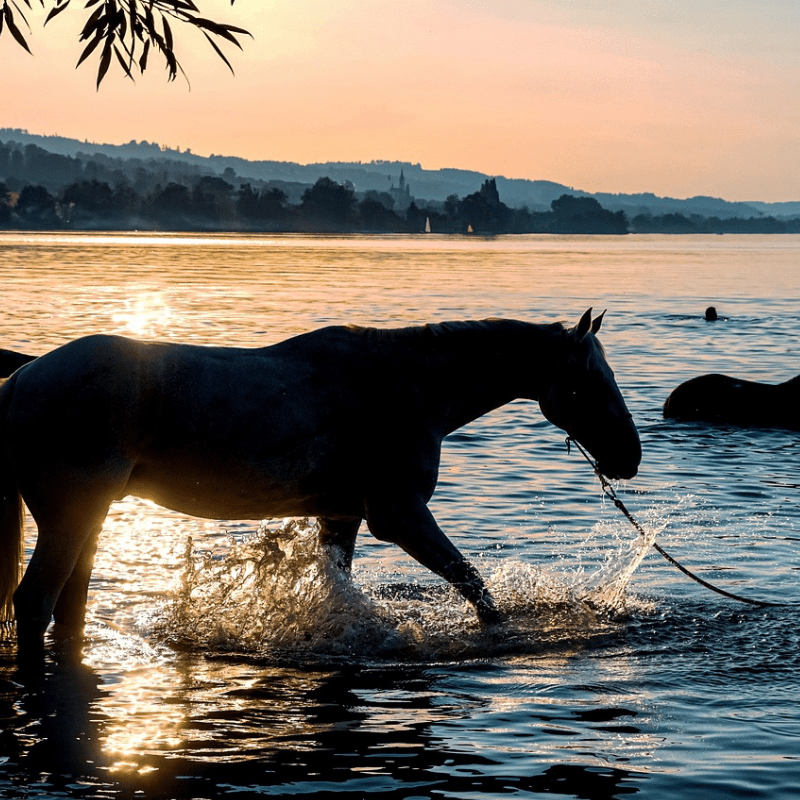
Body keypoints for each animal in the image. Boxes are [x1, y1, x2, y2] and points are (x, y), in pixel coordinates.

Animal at [0, 308, 636, 656]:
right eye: (588, 381)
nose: (629, 457)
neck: (404, 387)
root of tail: (23, 378)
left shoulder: (341, 515)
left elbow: (341, 590)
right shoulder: (400, 516)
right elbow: (474, 587)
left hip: (91, 517)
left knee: (66, 606)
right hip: (73, 514)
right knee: (33, 602)